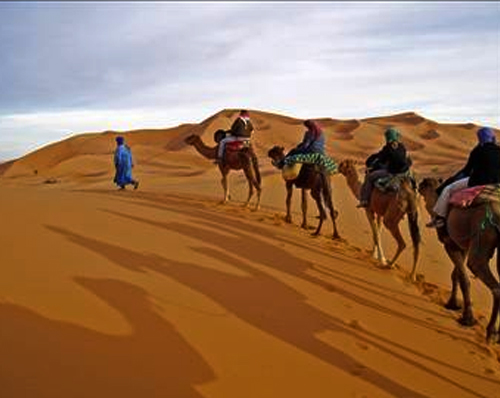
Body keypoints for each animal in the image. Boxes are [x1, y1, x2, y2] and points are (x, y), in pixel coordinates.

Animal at [418, 177, 500, 342]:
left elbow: (463, 279)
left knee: (489, 280)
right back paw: (496, 333)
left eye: (425, 183)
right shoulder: (462, 245)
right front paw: (453, 304)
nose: (417, 184)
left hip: (482, 234)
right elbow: (456, 275)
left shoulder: (450, 244)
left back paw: (490, 332)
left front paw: (467, 318)